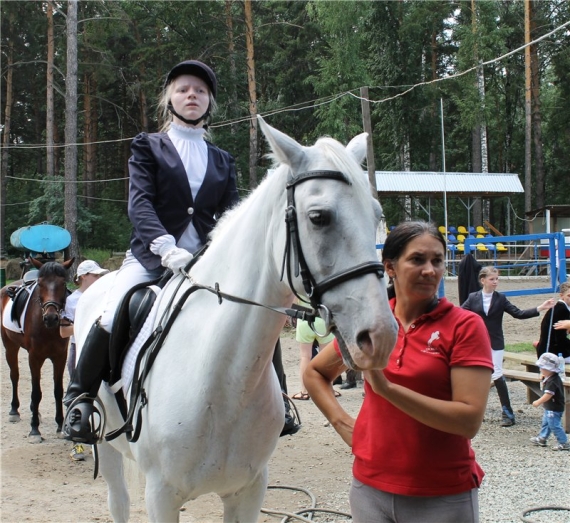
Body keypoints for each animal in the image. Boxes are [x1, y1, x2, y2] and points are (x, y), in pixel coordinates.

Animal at [0, 256, 73, 442]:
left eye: (63, 283)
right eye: (40, 284)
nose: (51, 317)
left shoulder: (60, 357)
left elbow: (58, 390)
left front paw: (60, 425)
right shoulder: (35, 357)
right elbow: (36, 392)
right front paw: (34, 429)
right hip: (10, 346)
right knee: (15, 375)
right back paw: (14, 410)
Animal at [74, 116, 394, 520]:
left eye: (377, 216)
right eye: (318, 217)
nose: (381, 336)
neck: (223, 383)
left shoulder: (249, 489)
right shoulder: (161, 495)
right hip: (107, 446)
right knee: (118, 501)